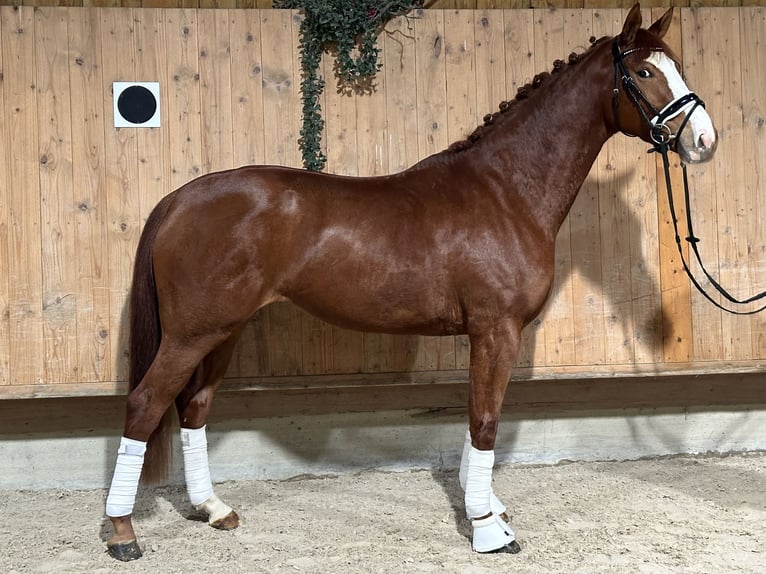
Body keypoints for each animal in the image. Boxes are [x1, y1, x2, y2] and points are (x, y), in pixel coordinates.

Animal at [105, 4, 716, 564]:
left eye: (677, 65)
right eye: (644, 72)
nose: (704, 140)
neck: (506, 191)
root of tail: (181, 197)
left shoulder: (488, 335)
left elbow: (476, 421)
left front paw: (489, 510)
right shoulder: (497, 331)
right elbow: (485, 422)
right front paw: (489, 531)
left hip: (223, 331)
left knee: (194, 406)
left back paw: (214, 509)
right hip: (192, 334)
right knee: (145, 404)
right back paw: (122, 534)